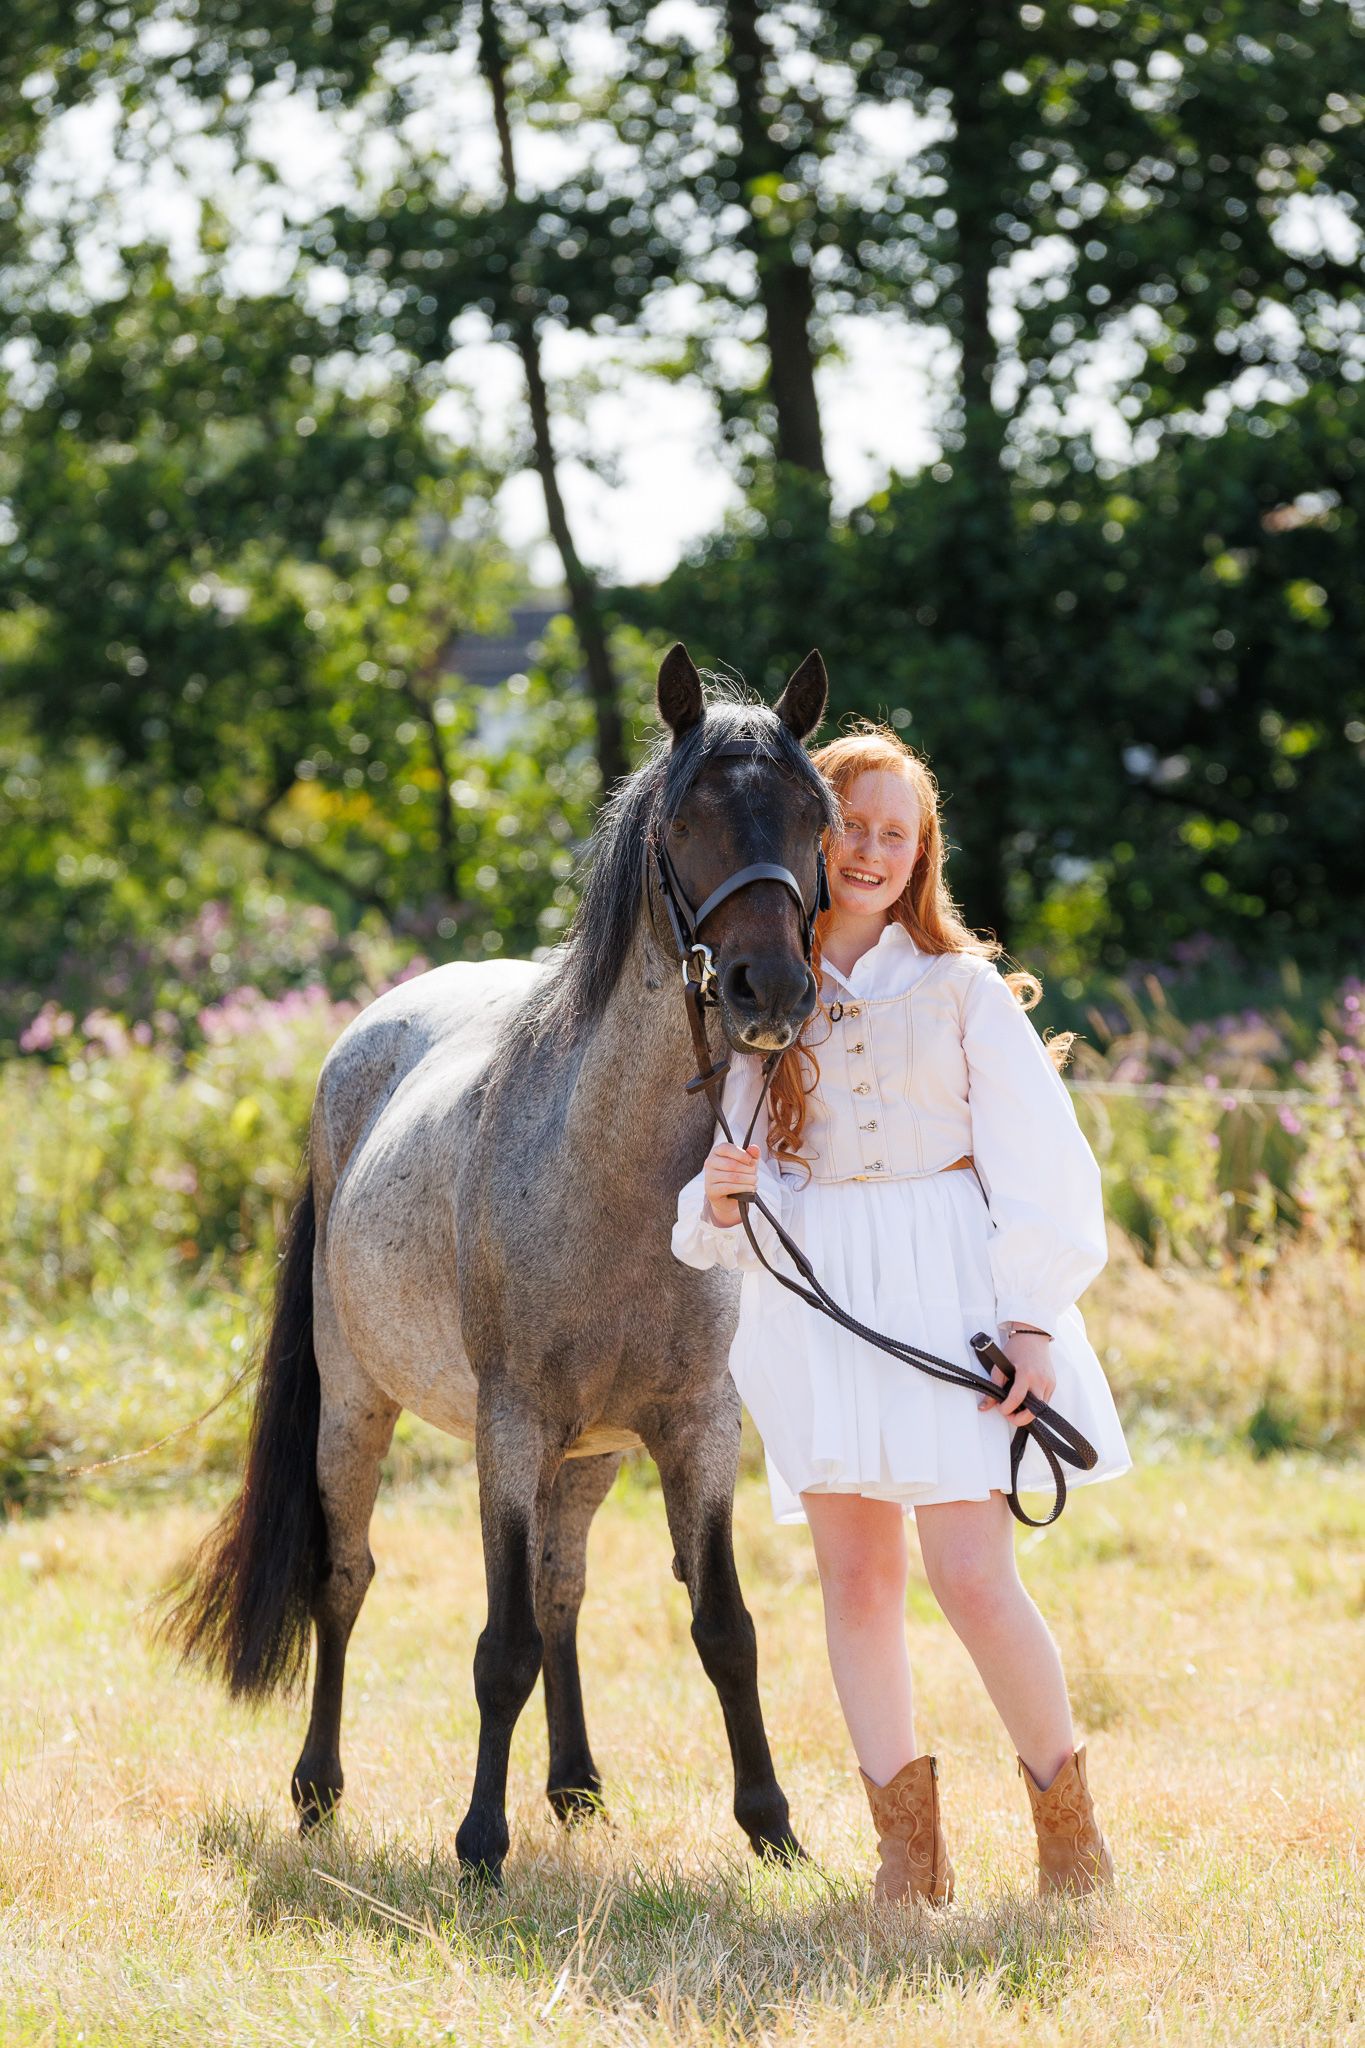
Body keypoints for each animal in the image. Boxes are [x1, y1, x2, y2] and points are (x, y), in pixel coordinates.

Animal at [162, 641, 836, 1881]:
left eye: (817, 818)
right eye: (684, 822)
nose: (771, 989)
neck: (615, 1181)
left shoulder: (695, 1427)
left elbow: (721, 1625)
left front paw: (773, 1825)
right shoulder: (509, 1426)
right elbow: (499, 1640)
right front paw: (479, 1839)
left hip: (590, 1455)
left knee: (564, 1588)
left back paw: (574, 1784)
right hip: (358, 1409)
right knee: (346, 1579)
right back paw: (319, 1787)